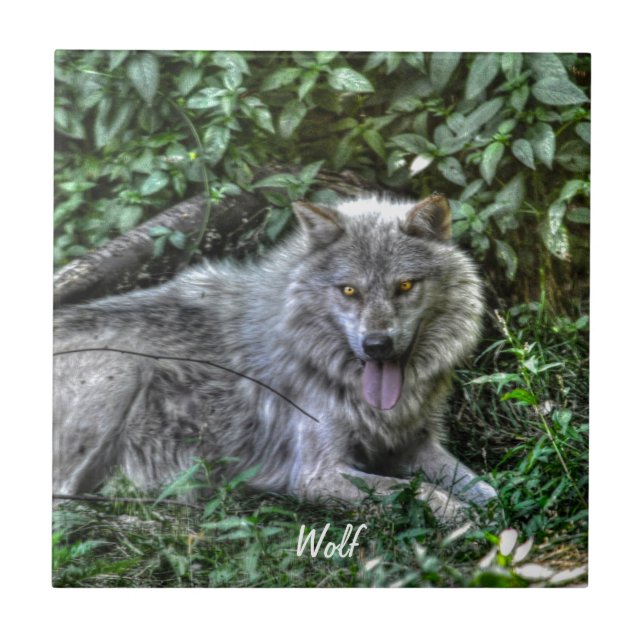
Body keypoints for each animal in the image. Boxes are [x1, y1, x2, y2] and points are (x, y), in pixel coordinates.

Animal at [53, 193, 496, 522]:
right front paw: (461, 516)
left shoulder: (415, 446)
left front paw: (498, 513)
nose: (376, 346)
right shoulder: (316, 475)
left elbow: (486, 487)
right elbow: (419, 491)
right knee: (65, 504)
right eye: (349, 290)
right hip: (121, 369)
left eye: (404, 286)